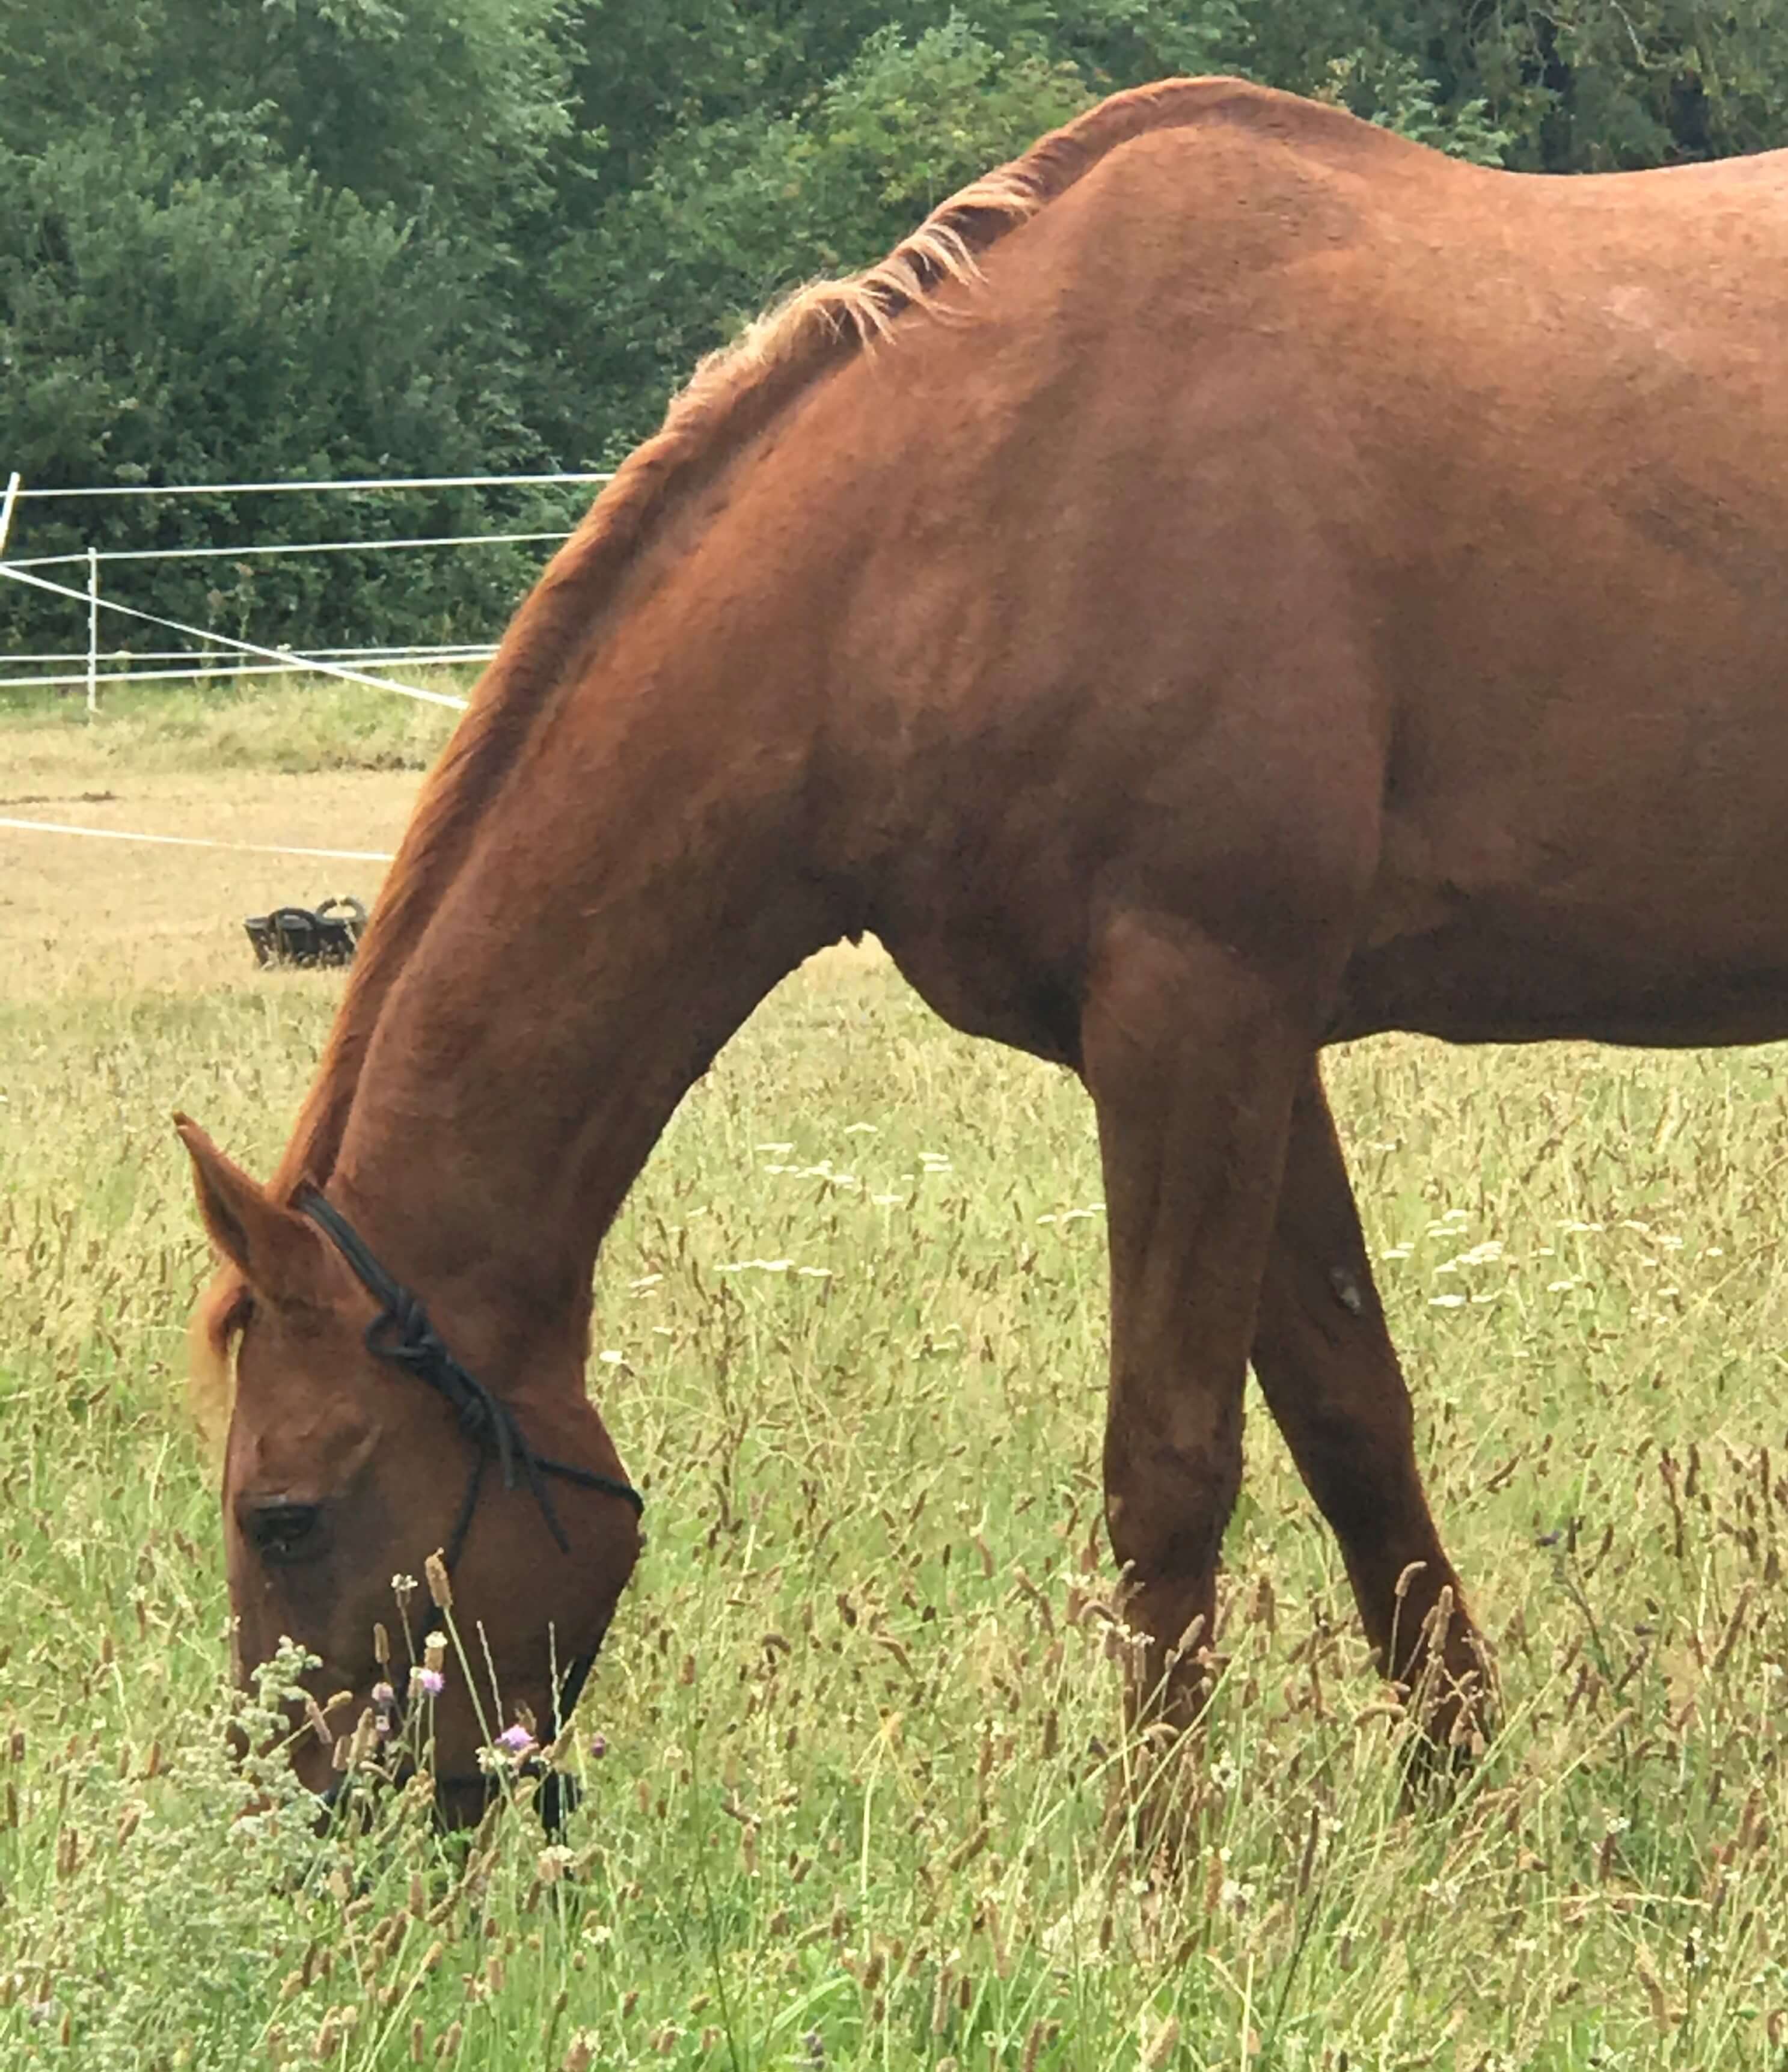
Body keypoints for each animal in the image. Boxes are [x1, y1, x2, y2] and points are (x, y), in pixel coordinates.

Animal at [178, 73, 1788, 1806]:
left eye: (284, 1511)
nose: (301, 1821)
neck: (960, 517)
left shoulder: (1189, 1011)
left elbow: (1167, 1468)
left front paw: (1161, 1859)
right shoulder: (1251, 1037)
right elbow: (1350, 1423)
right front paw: (1453, 1800)